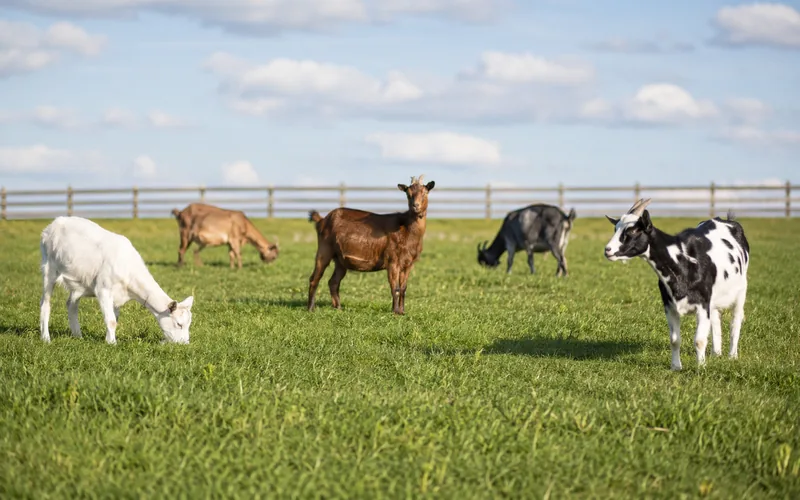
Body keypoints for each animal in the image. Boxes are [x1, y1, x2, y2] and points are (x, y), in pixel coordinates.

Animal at [40, 216, 194, 344]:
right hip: (49, 268)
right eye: (179, 324)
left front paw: (108, 339)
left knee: (71, 305)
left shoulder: (117, 295)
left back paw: (78, 336)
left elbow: (115, 319)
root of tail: (53, 224)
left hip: (78, 281)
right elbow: (111, 320)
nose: (184, 344)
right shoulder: (103, 289)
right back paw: (46, 338)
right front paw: (112, 344)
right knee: (45, 303)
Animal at [307, 175, 435, 315]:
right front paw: (395, 312)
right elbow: (395, 288)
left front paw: (402, 311)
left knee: (333, 282)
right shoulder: (392, 260)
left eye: (425, 192)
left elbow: (403, 288)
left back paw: (338, 308)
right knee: (315, 277)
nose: (415, 206)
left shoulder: (408, 263)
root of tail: (322, 220)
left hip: (340, 260)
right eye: (408, 194)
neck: (406, 229)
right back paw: (311, 308)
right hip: (324, 249)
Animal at [604, 199, 750, 370]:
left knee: (735, 322)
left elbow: (699, 340)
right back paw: (716, 353)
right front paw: (676, 367)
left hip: (741, 291)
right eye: (615, 228)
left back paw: (732, 356)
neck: (684, 263)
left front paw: (700, 367)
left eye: (632, 231)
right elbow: (674, 340)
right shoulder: (670, 306)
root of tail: (727, 220)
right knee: (715, 320)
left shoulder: (702, 305)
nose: (608, 250)